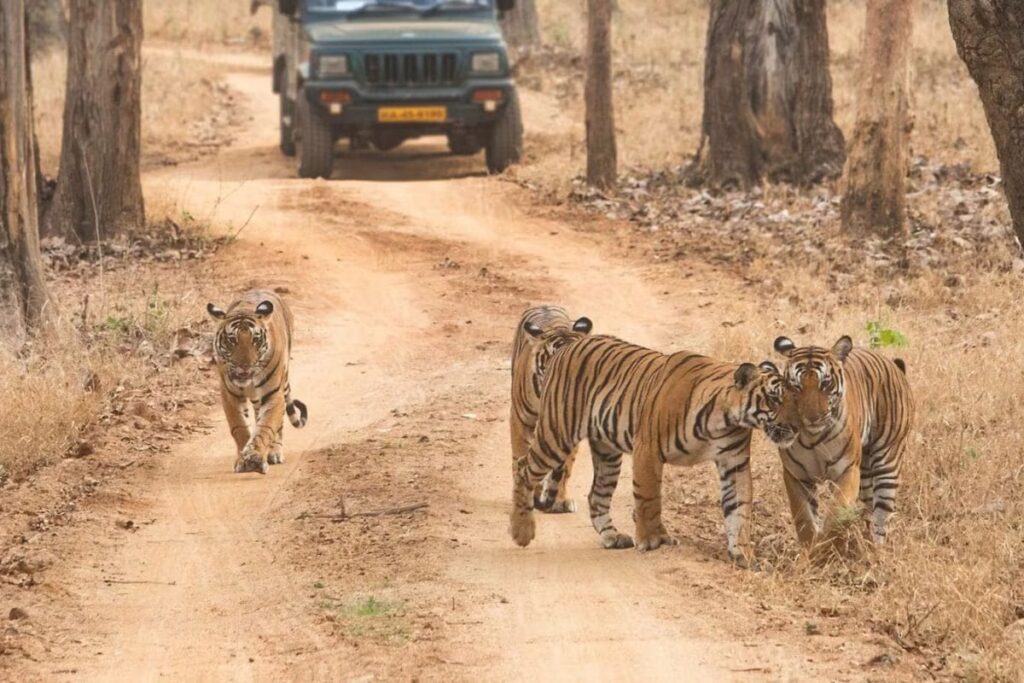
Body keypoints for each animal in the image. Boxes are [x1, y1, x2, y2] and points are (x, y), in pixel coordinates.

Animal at [207, 290, 308, 474]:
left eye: (255, 339)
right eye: (232, 340)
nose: (245, 366)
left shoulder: (273, 395)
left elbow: (266, 426)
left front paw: (254, 457)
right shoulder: (229, 395)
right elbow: (239, 427)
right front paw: (243, 458)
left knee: (278, 424)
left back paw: (275, 452)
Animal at [509, 334, 793, 565]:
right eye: (774, 399)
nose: (796, 426)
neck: (726, 419)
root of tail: (568, 345)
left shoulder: (734, 463)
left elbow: (740, 508)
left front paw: (743, 554)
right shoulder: (648, 449)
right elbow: (649, 498)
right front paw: (653, 540)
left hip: (607, 453)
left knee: (596, 496)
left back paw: (613, 537)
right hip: (556, 434)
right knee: (523, 468)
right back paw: (521, 531)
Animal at [771, 335, 913, 547]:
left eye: (825, 384)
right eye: (796, 386)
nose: (812, 418)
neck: (813, 437)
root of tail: (893, 366)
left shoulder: (847, 471)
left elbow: (836, 513)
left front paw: (826, 545)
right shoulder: (796, 476)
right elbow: (804, 521)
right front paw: (813, 550)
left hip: (888, 460)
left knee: (881, 513)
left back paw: (875, 548)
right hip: (865, 473)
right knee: (868, 507)